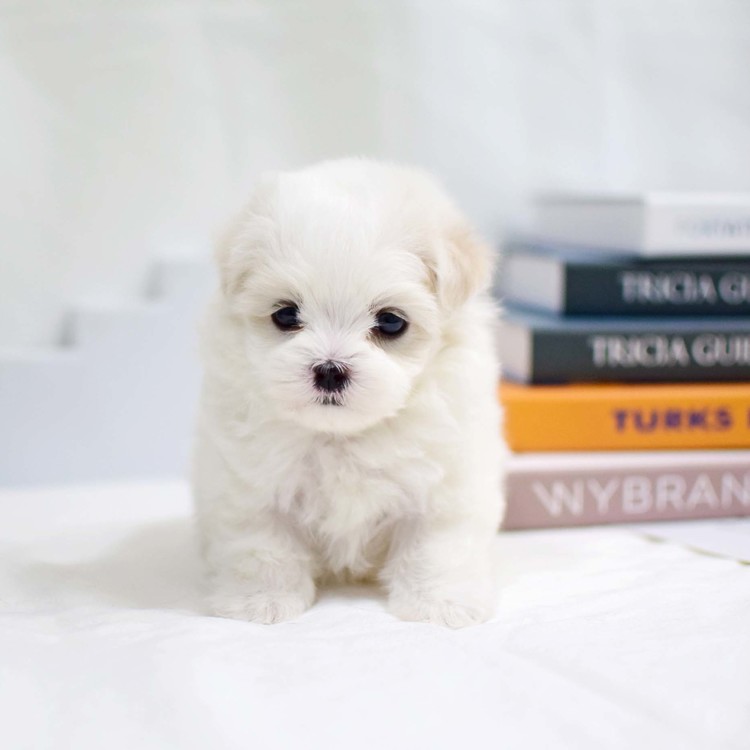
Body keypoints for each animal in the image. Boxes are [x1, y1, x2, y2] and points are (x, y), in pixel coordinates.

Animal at [192, 158, 504, 628]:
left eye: (391, 322)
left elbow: (436, 547)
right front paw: (260, 601)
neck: (342, 437)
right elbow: (263, 546)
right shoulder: (250, 483)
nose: (329, 370)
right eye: (286, 315)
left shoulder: (445, 483)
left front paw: (440, 604)